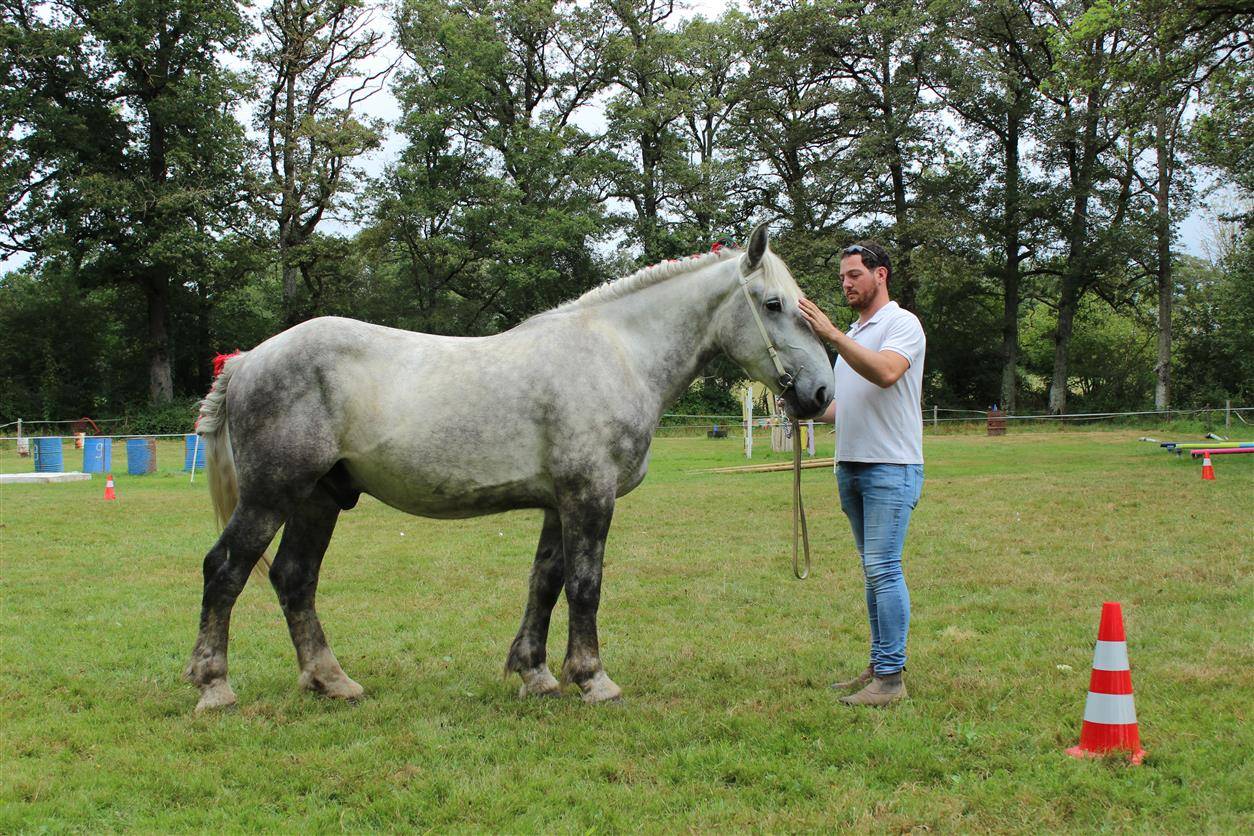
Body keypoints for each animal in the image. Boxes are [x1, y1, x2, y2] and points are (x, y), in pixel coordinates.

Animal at [185, 224, 832, 712]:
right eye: (773, 304)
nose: (822, 393)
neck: (618, 353)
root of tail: (248, 359)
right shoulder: (589, 495)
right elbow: (585, 585)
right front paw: (593, 678)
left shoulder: (558, 502)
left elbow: (545, 583)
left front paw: (536, 675)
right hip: (271, 496)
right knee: (225, 570)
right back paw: (215, 686)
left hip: (318, 499)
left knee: (294, 578)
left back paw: (331, 680)